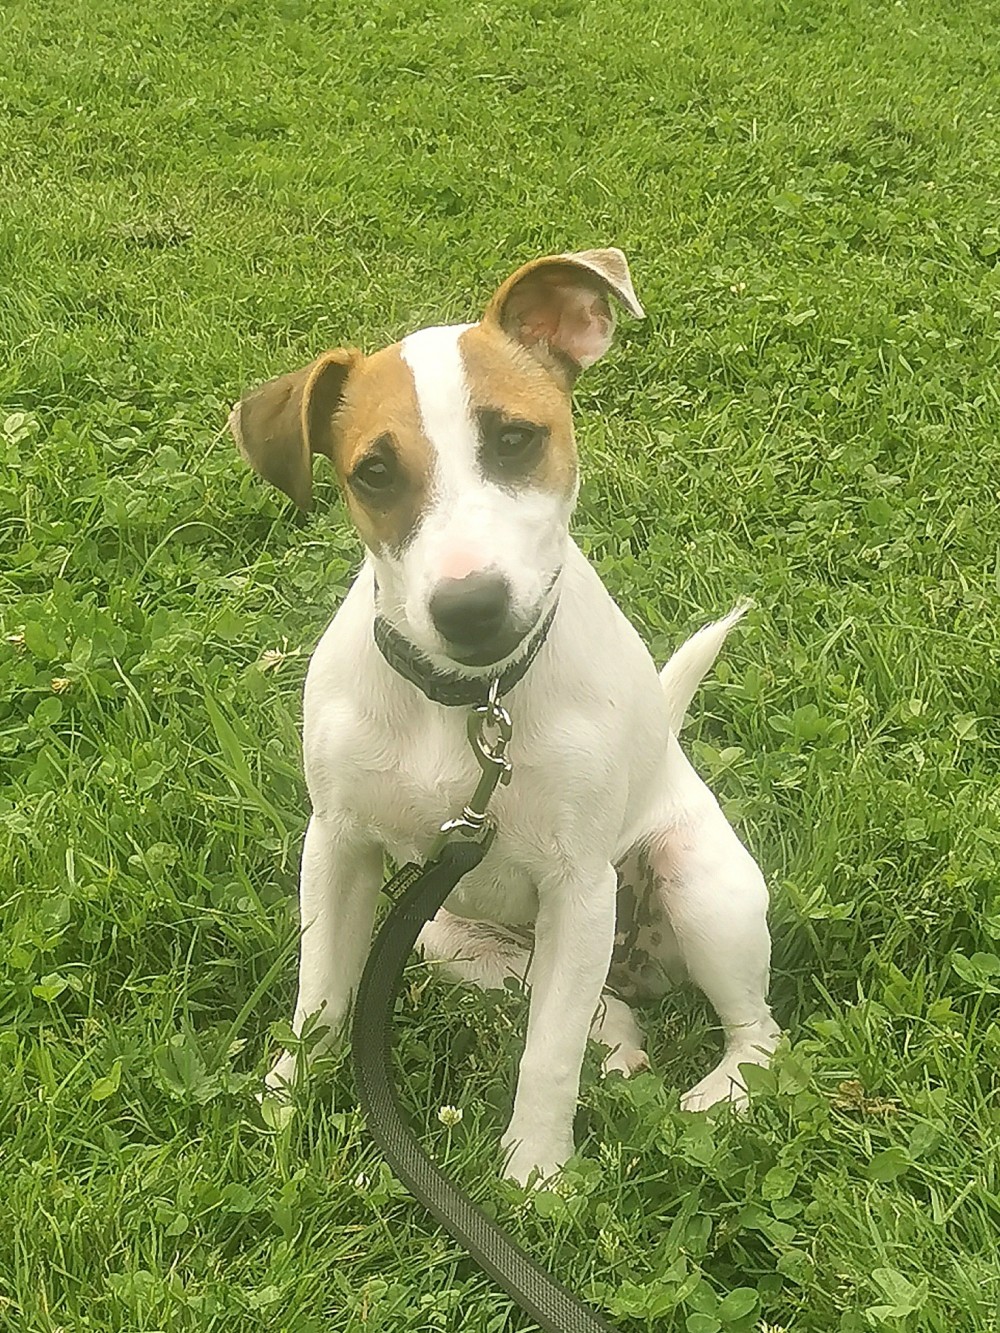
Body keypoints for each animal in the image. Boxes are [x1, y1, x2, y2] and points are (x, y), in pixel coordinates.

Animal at [228, 248, 780, 1185]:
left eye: (516, 439)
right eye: (373, 472)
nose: (471, 607)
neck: (467, 701)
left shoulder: (579, 882)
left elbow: (545, 1058)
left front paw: (535, 1176)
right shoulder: (336, 847)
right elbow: (321, 999)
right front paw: (288, 1102)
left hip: (695, 886)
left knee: (756, 1029)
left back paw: (721, 1092)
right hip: (448, 939)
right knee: (589, 1005)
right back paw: (621, 1038)